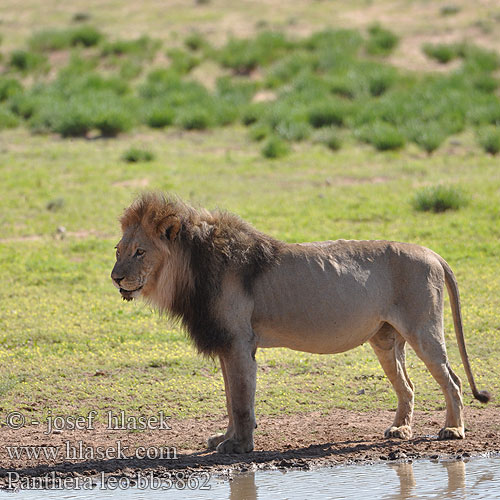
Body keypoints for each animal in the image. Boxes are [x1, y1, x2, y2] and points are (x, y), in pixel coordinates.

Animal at [111, 193, 490, 456]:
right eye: (118, 250)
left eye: (140, 252)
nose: (115, 278)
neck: (189, 271)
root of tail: (432, 252)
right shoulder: (226, 345)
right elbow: (231, 398)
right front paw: (225, 437)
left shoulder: (238, 343)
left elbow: (240, 399)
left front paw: (239, 447)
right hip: (385, 340)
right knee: (407, 386)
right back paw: (400, 431)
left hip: (423, 330)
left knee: (453, 380)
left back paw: (453, 431)